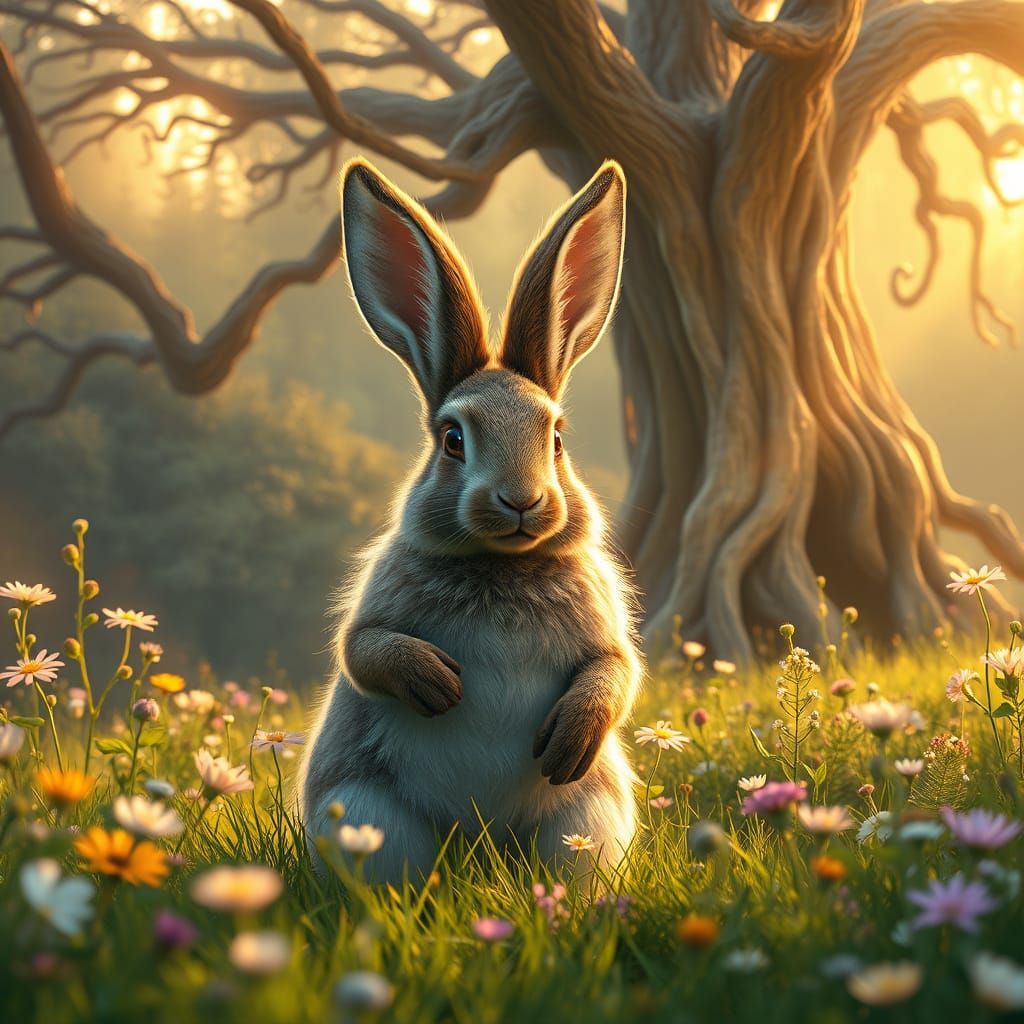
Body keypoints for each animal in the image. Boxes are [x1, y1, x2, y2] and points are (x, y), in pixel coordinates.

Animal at [297, 156, 643, 883]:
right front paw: (435, 682)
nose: (520, 500)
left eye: (557, 437)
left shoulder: (606, 631)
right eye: (453, 439)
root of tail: (478, 848)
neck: (501, 564)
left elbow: (617, 671)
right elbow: (361, 650)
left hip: (583, 821)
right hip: (369, 814)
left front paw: (571, 738)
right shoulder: (376, 611)